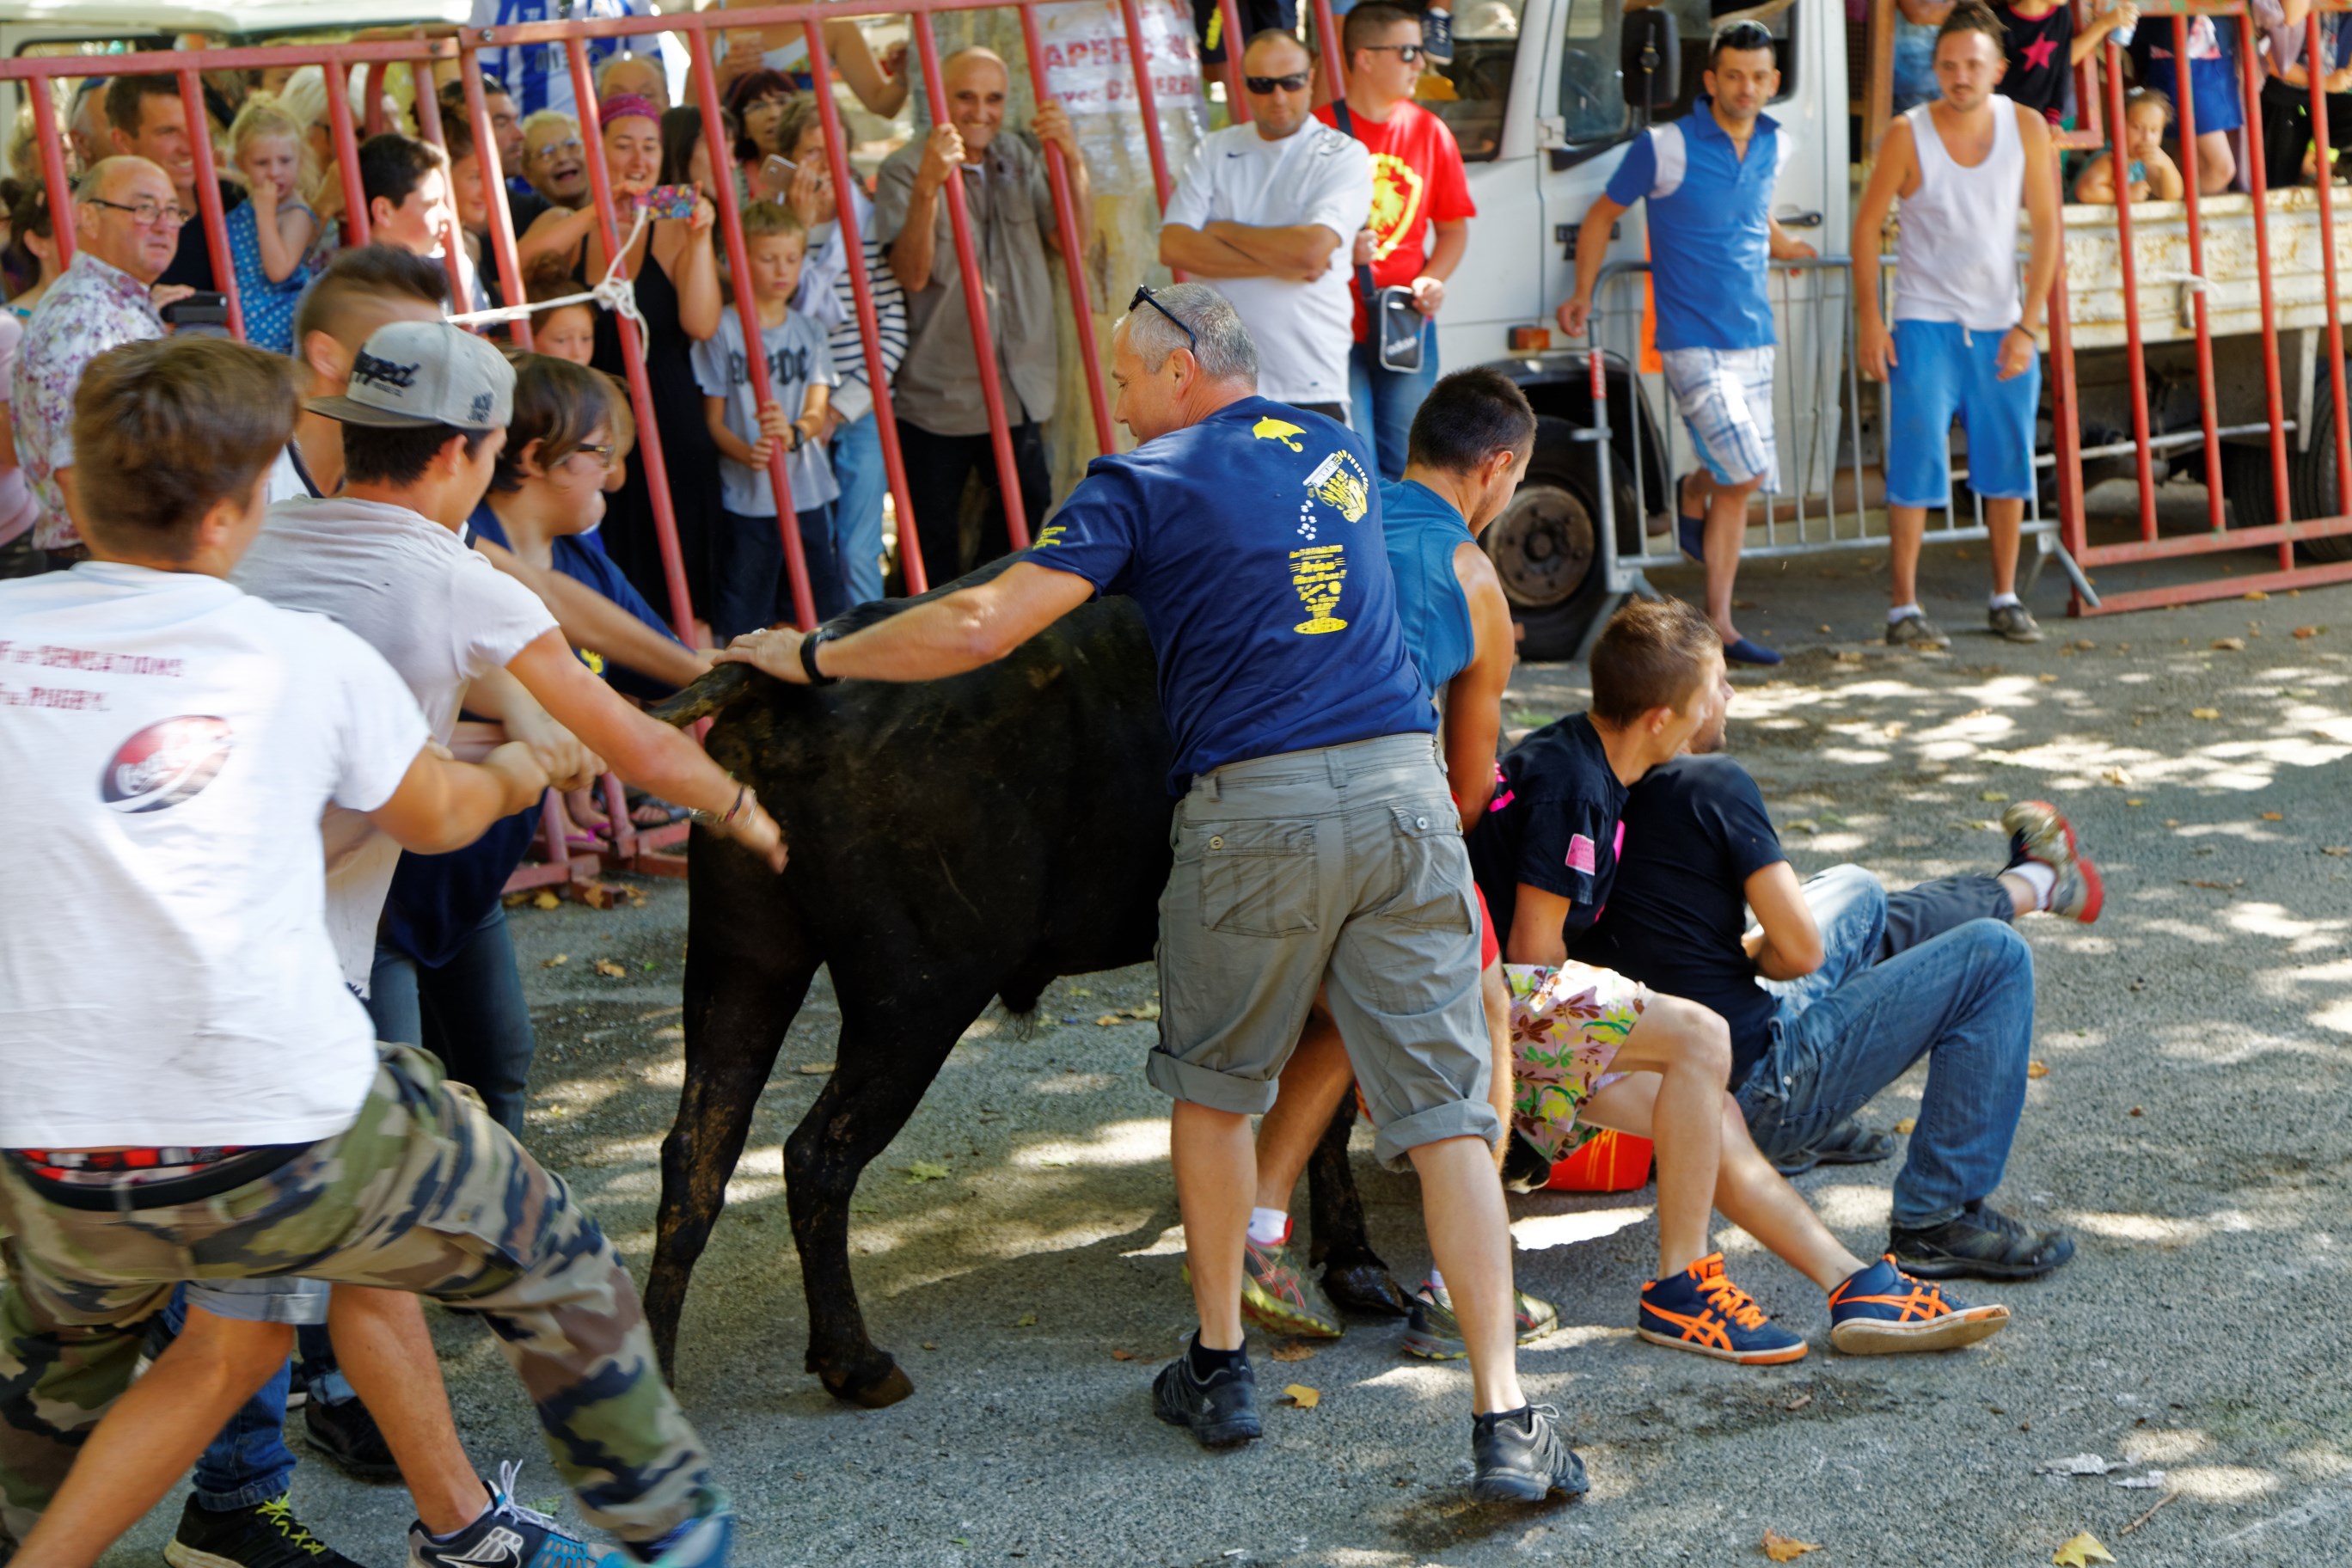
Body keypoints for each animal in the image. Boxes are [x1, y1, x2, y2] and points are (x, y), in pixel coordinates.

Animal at [649, 580, 1411, 1410]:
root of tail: (774, 691)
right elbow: (1332, 1108)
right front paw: (1353, 1262)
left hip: (743, 967)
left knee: (696, 1153)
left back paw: (653, 1372)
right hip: (913, 1005)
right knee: (817, 1155)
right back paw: (856, 1361)